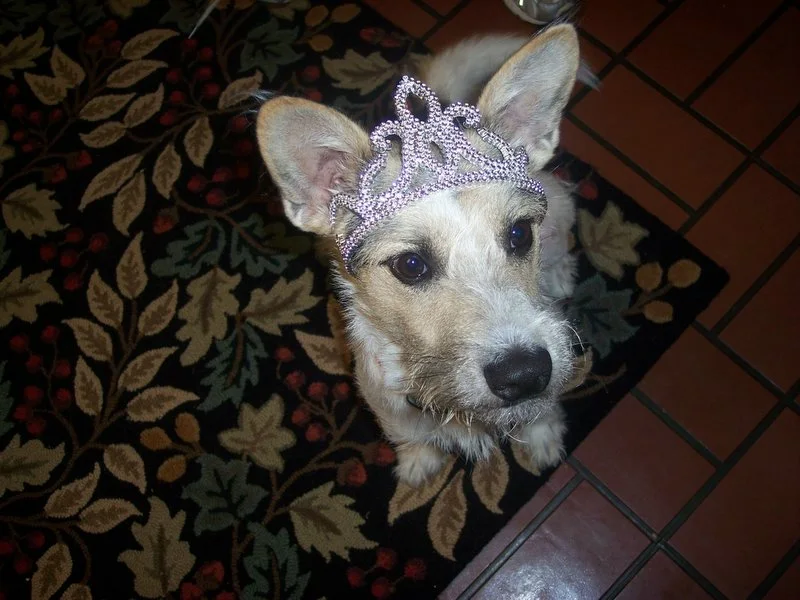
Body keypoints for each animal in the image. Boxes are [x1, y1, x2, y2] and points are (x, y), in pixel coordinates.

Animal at [256, 25, 584, 486]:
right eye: (411, 266)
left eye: (519, 234)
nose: (525, 374)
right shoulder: (385, 403)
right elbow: (411, 436)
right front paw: (418, 463)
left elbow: (542, 413)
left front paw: (543, 438)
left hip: (561, 210)